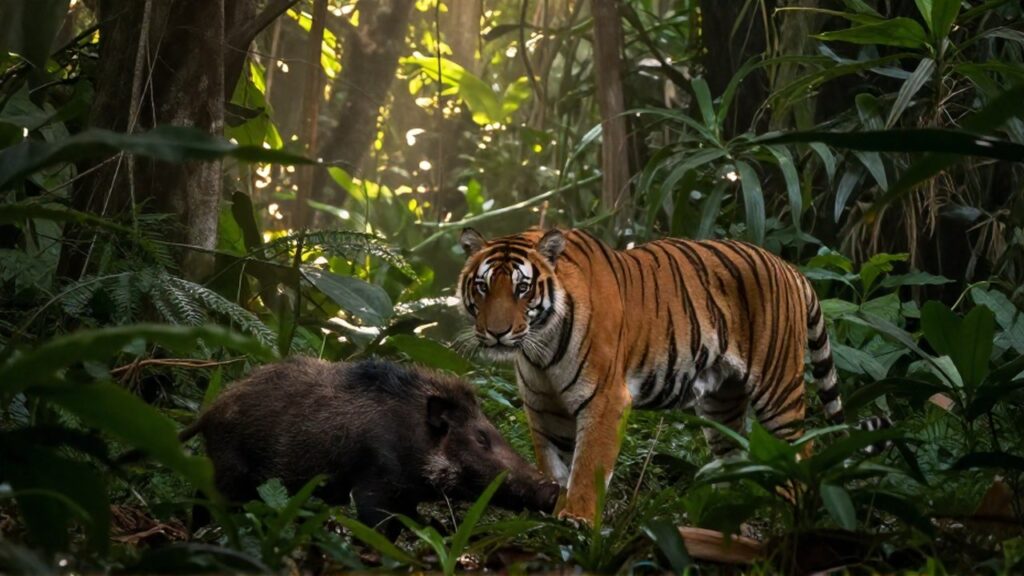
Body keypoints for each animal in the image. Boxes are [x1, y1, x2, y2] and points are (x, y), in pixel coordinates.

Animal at [456, 227, 845, 522]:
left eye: (522, 288)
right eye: (483, 286)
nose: (497, 333)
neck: (540, 348)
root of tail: (789, 267)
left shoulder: (604, 399)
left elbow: (587, 467)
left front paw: (577, 519)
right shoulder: (543, 407)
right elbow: (554, 466)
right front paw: (554, 512)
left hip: (779, 389)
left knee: (800, 451)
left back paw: (791, 516)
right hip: (722, 404)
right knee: (733, 456)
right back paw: (721, 516)